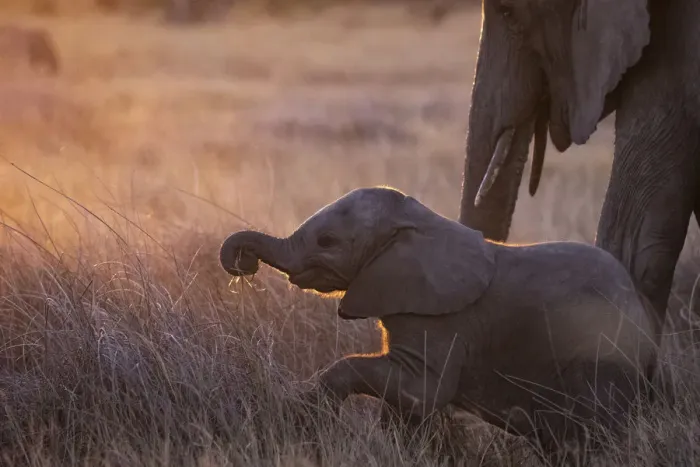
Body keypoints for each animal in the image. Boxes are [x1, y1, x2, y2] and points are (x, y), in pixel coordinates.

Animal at [219, 186, 662, 463]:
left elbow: (424, 391)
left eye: (327, 241)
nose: (244, 265)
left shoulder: (443, 318)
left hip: (601, 359)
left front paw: (307, 414)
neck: (420, 221)